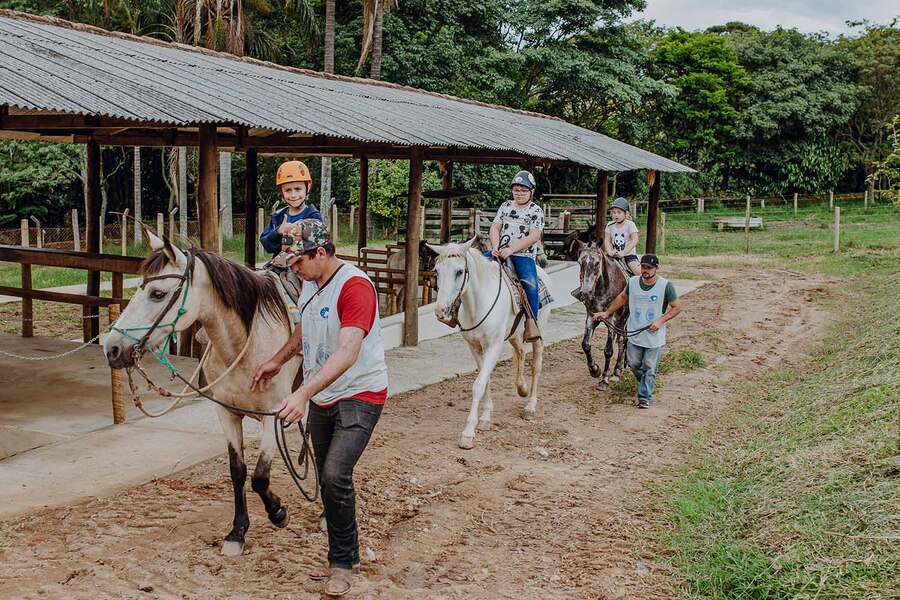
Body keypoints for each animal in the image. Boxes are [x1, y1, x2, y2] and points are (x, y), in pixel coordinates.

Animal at [101, 232, 298, 556]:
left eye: (157, 294)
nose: (113, 348)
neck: (247, 342)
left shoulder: (273, 413)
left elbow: (260, 477)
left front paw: (278, 513)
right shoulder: (226, 412)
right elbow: (238, 471)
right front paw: (237, 532)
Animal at [428, 241, 552, 448]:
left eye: (459, 271)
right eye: (437, 270)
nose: (440, 311)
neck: (478, 305)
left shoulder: (493, 346)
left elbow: (478, 384)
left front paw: (468, 433)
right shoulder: (474, 346)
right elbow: (485, 379)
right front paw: (485, 417)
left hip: (539, 332)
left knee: (536, 366)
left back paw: (530, 406)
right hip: (514, 334)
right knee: (520, 353)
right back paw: (522, 388)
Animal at [572, 241, 628, 392]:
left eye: (597, 263)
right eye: (579, 262)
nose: (585, 292)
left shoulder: (611, 320)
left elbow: (608, 350)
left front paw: (604, 380)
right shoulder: (592, 317)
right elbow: (586, 344)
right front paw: (594, 370)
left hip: (624, 319)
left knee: (623, 341)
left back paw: (617, 372)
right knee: (621, 341)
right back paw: (616, 371)